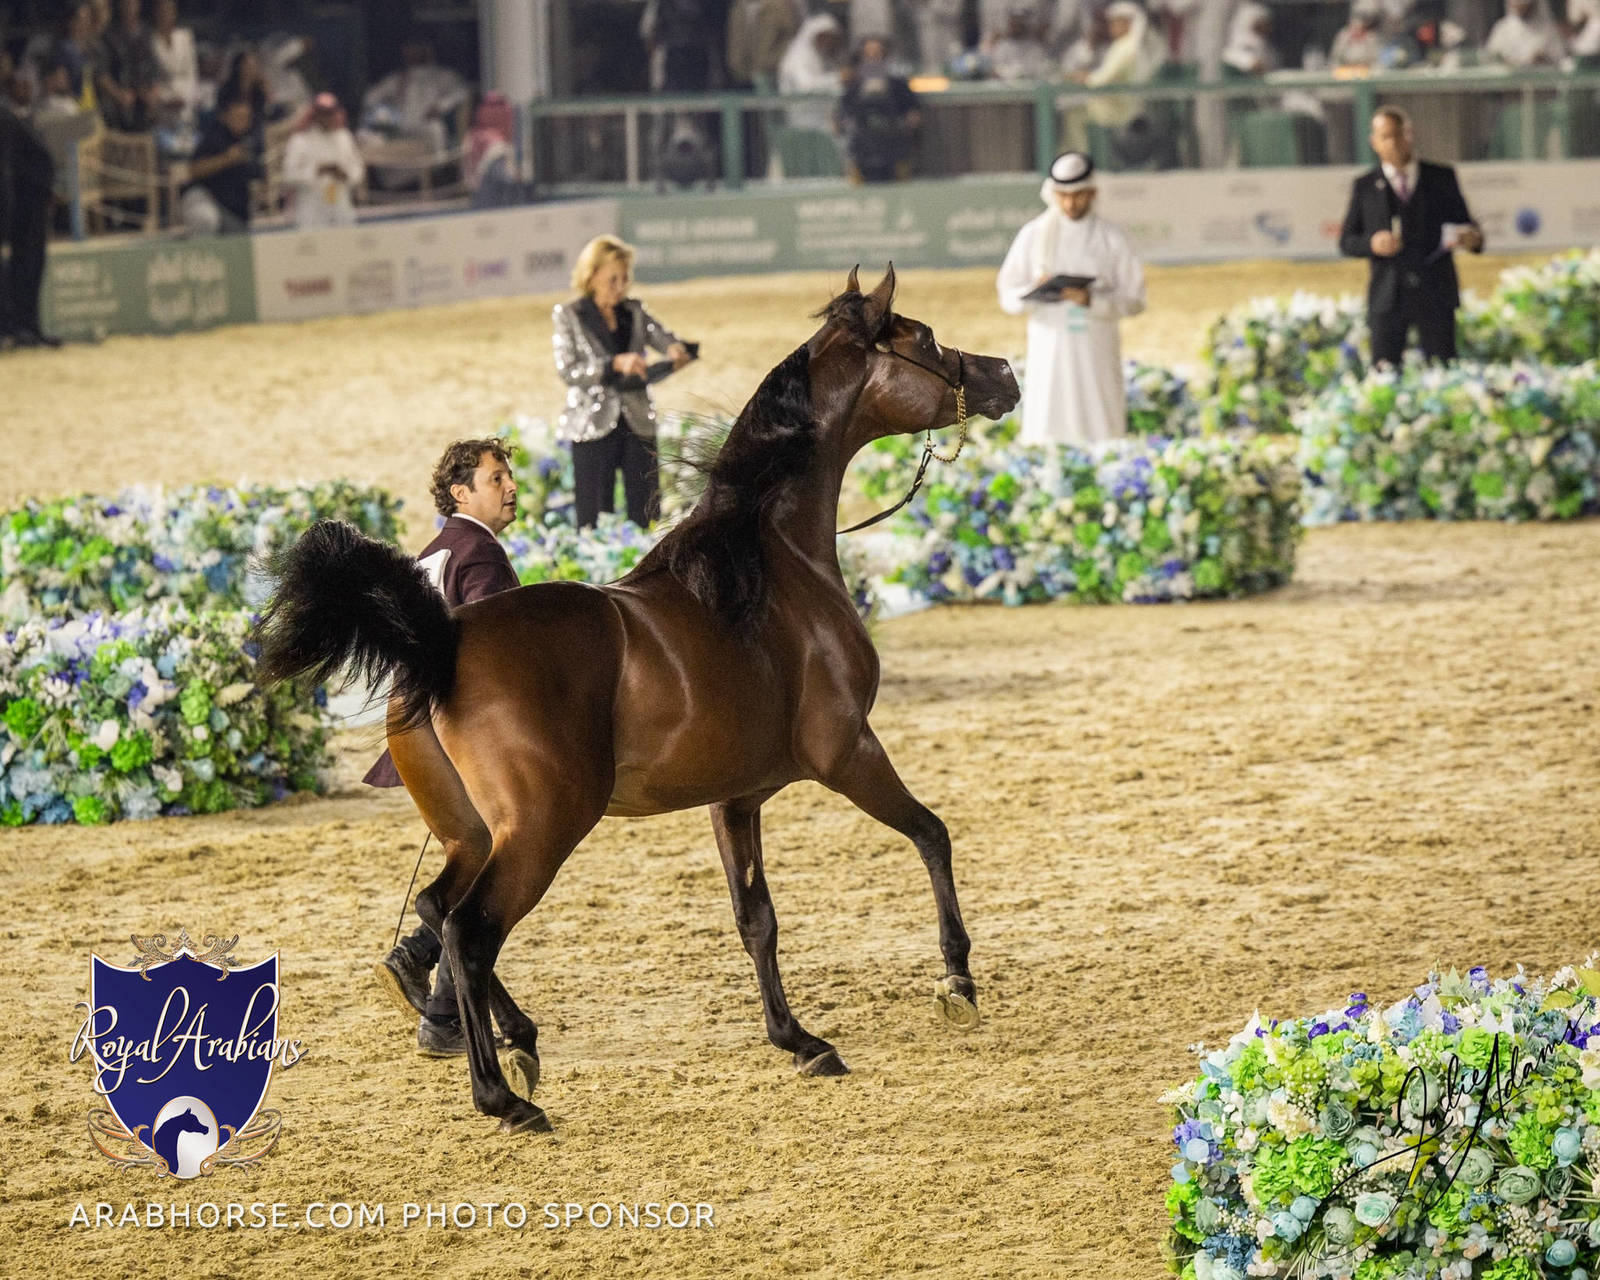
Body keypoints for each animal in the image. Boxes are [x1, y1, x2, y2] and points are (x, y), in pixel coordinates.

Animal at [256, 266, 1020, 1134]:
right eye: (923, 339)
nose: (1004, 375)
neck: (771, 567)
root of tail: (439, 642)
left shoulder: (737, 796)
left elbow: (757, 919)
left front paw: (799, 1039)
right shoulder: (848, 752)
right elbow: (931, 834)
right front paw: (957, 980)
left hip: (471, 831)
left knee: (435, 910)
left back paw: (518, 1039)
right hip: (545, 827)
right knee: (471, 931)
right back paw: (503, 1097)